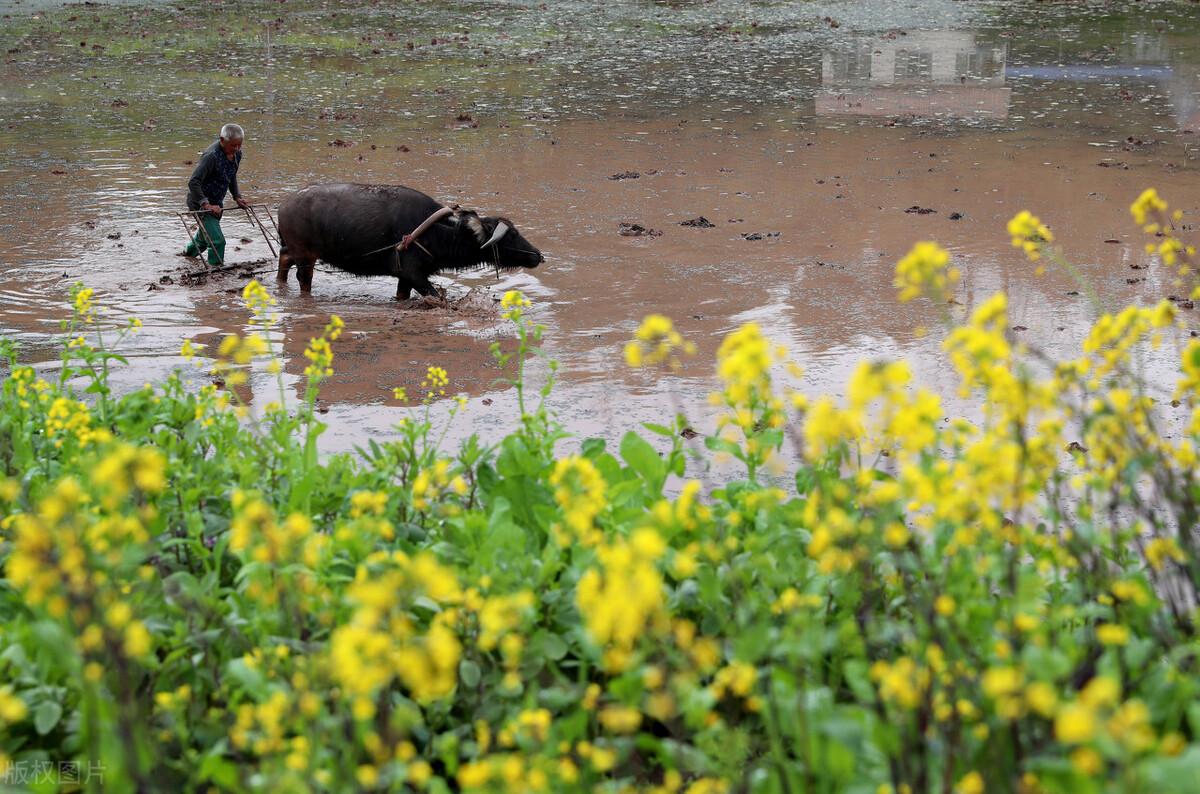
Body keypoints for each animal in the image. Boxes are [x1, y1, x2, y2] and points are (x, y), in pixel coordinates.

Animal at [276, 183, 544, 298]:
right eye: (512, 235)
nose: (538, 255)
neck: (439, 231)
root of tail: (284, 205)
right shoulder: (413, 274)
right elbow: (436, 296)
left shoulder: (405, 278)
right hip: (305, 256)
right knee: (303, 279)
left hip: (295, 251)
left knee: (284, 259)